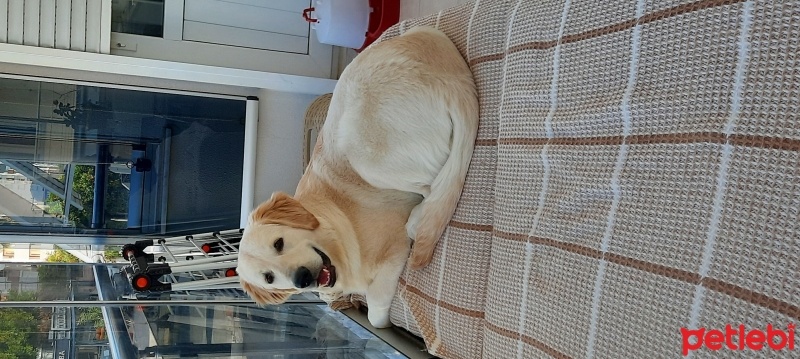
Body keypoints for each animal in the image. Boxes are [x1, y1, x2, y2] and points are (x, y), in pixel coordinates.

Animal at [234, 25, 478, 330]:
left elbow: (375, 310)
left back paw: (416, 220)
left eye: (278, 243)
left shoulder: (393, 254)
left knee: (431, 189)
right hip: (426, 33)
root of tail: (449, 79)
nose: (302, 279)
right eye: (268, 278)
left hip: (362, 153)